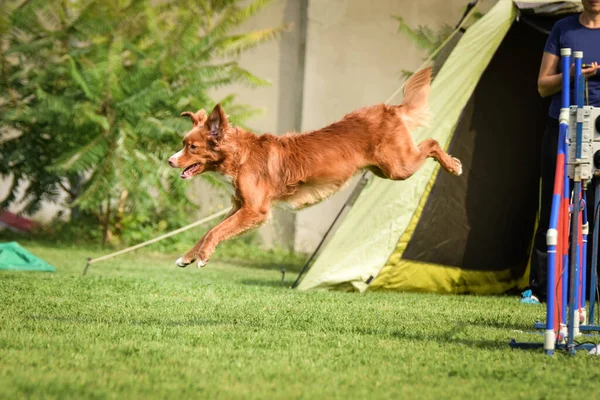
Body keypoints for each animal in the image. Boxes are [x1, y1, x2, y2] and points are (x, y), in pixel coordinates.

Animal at [166, 68, 462, 268]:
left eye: (191, 147)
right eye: (183, 144)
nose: (170, 160)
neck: (240, 157)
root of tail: (389, 109)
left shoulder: (254, 210)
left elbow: (216, 231)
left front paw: (202, 257)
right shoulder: (239, 207)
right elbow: (207, 232)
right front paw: (187, 257)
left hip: (398, 167)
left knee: (433, 142)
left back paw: (453, 165)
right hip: (384, 169)